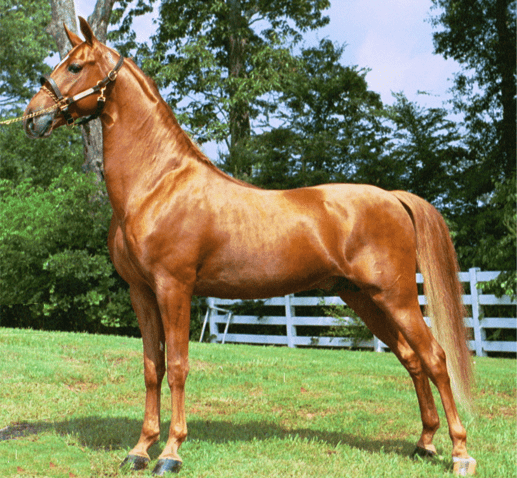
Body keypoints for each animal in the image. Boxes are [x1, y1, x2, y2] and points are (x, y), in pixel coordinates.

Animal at [24, 16, 476, 476]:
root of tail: (392, 197)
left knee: (435, 358)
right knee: (411, 359)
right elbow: (152, 367)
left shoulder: (174, 289)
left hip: (396, 296)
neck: (157, 184)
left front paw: (170, 452)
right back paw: (424, 443)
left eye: (75, 66)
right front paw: (140, 449)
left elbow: (178, 367)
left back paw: (460, 452)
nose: (31, 117)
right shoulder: (142, 292)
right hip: (364, 298)